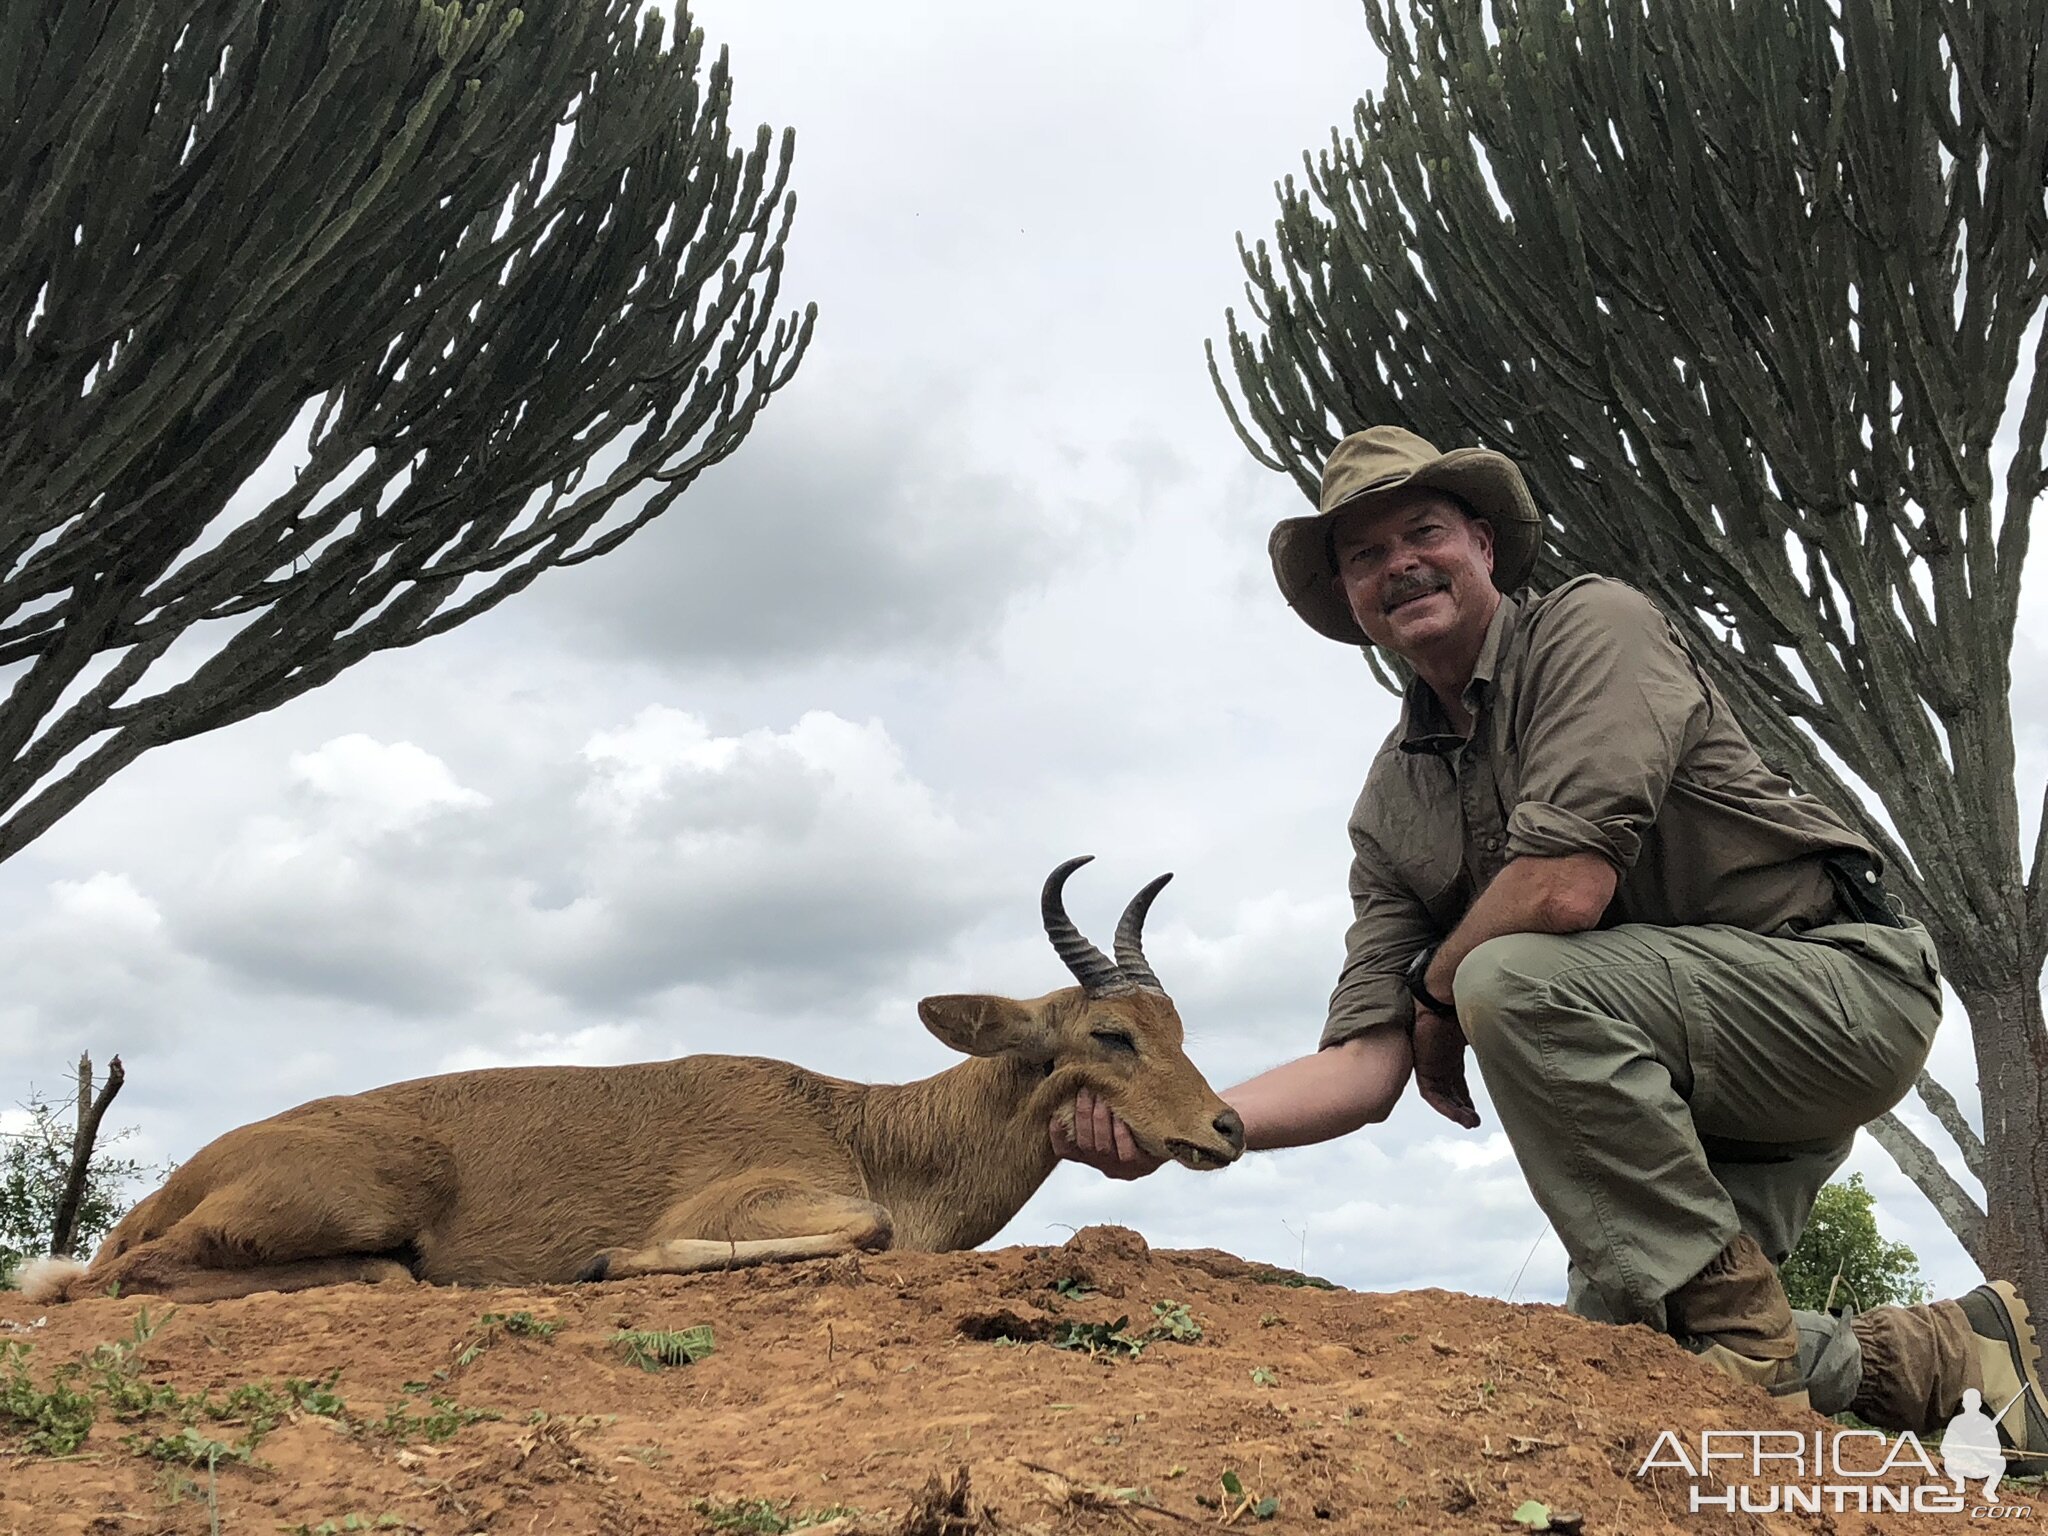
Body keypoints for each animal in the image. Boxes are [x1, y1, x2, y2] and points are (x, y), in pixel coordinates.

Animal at [19, 860, 1245, 1302]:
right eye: (1111, 1032)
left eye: (1178, 1024)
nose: (1227, 1127)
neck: (867, 1129)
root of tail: (177, 1182)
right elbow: (868, 1233)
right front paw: (608, 1258)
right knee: (116, 1280)